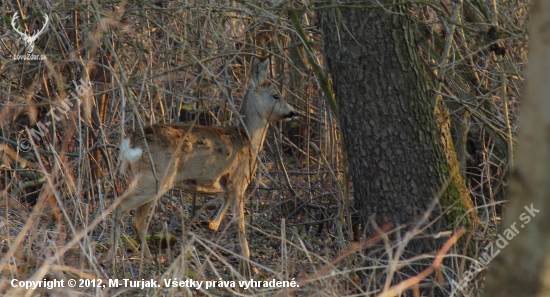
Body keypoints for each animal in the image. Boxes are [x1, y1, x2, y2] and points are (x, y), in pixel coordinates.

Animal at [109, 58, 298, 276]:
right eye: (276, 95)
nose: (292, 112)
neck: (248, 139)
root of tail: (131, 142)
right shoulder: (238, 181)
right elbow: (240, 225)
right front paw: (249, 269)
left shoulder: (228, 185)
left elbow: (224, 207)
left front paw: (210, 224)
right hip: (155, 178)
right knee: (120, 207)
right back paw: (113, 259)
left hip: (153, 181)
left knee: (137, 220)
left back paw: (148, 260)